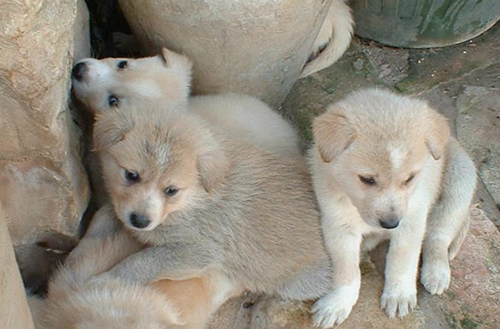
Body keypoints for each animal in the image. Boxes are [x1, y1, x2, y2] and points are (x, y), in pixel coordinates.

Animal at [92, 105, 334, 302]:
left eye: (171, 190)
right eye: (131, 175)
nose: (140, 221)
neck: (192, 202)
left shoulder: (200, 251)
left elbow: (143, 262)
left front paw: (107, 279)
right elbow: (105, 214)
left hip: (298, 283)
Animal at [308, 88, 476, 326]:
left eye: (411, 178)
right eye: (367, 179)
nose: (391, 223)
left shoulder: (412, 219)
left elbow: (402, 260)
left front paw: (399, 295)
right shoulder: (337, 224)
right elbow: (347, 270)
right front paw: (337, 302)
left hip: (460, 179)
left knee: (438, 236)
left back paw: (437, 272)